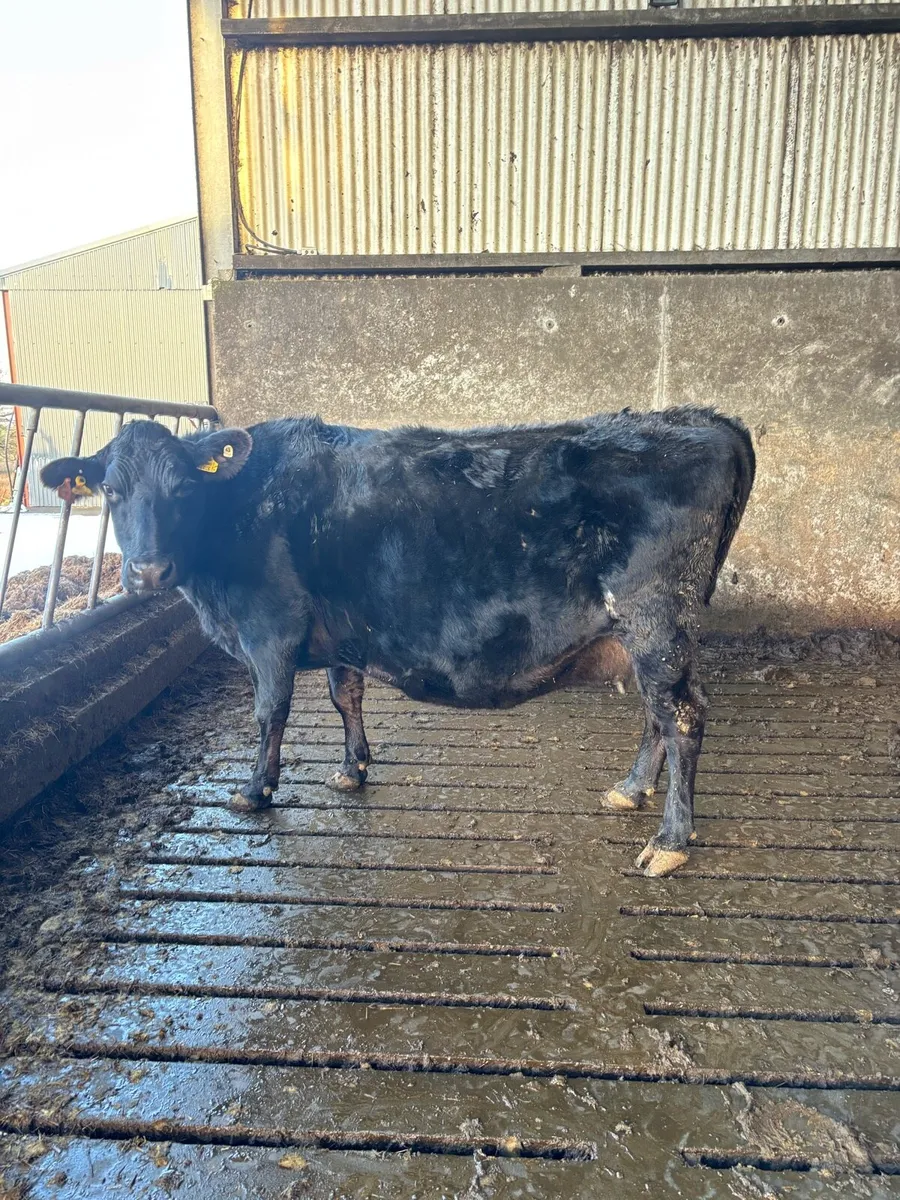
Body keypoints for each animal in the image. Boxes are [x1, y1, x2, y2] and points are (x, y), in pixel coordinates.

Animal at [41, 406, 754, 877]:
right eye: (110, 489)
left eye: (184, 488)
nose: (148, 572)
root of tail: (706, 419)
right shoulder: (341, 632)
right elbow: (344, 694)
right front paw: (352, 768)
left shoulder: (269, 628)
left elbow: (270, 712)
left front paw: (255, 791)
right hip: (646, 633)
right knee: (656, 714)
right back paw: (629, 790)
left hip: (655, 616)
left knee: (682, 716)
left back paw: (670, 841)